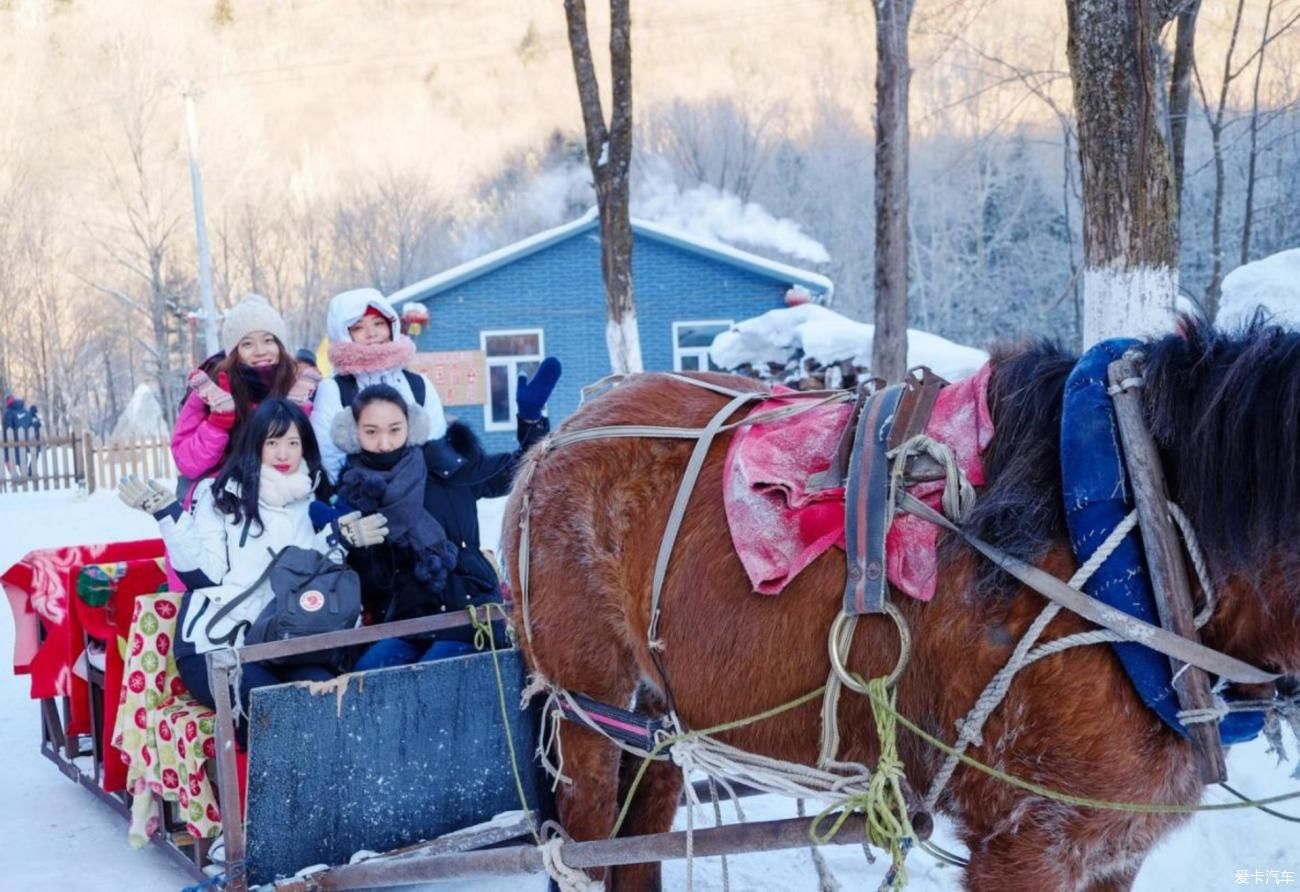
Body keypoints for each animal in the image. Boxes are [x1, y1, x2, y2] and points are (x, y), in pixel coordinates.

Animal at [504, 323, 1300, 892]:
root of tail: (558, 434)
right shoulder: (1025, 843)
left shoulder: (1113, 847)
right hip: (584, 705)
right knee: (588, 845)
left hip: (657, 713)